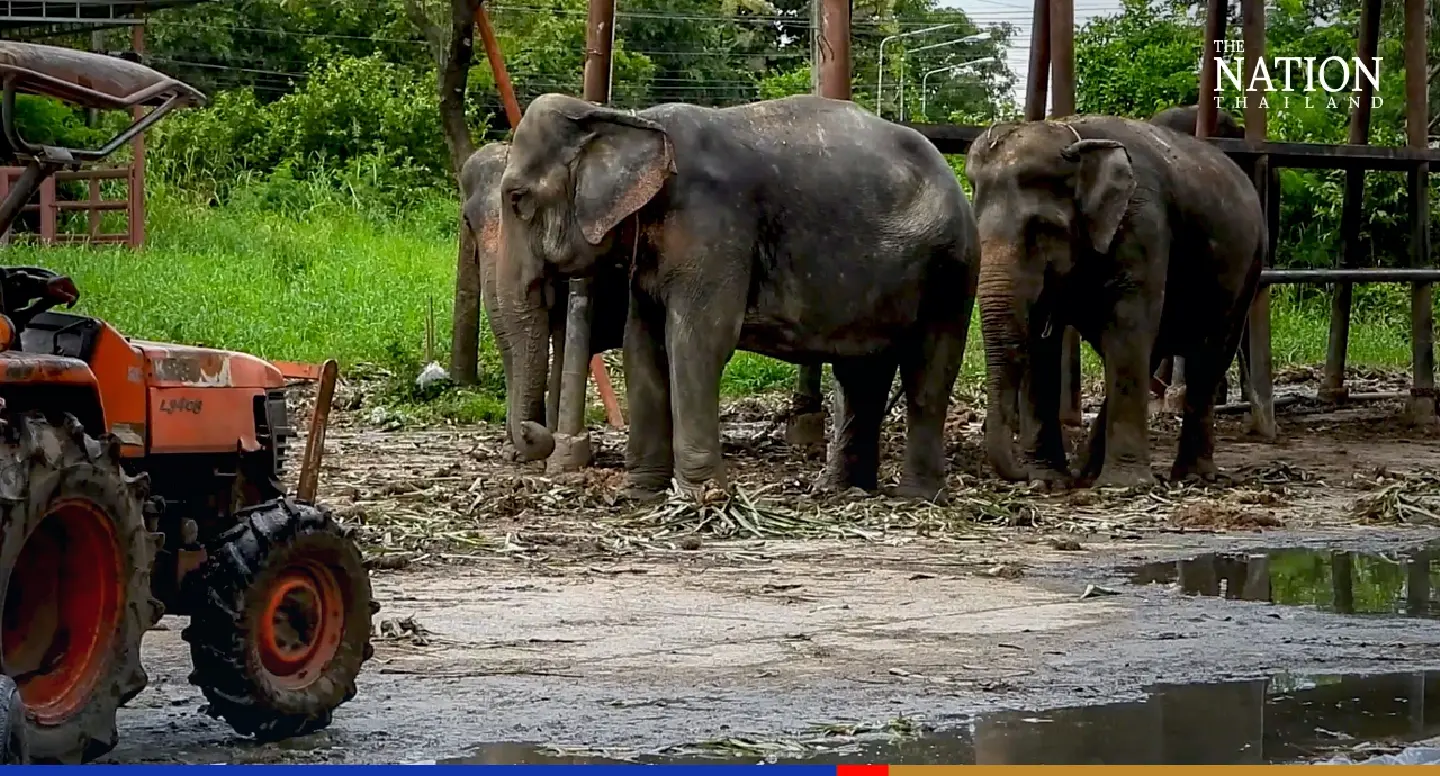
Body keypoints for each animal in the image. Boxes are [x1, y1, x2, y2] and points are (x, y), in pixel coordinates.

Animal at [497, 92, 980, 502]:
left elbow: (697, 340)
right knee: (862, 373)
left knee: (928, 370)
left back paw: (915, 498)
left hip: (952, 268)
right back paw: (840, 491)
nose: (536, 437)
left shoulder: (714, 227)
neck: (629, 116)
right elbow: (642, 346)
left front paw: (702, 498)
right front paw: (639, 496)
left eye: (518, 198)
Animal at [964, 115, 1265, 488]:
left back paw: (1192, 476)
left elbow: (1127, 328)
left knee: (1207, 356)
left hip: (1249, 267)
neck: (1070, 138)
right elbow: (1042, 343)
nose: (1018, 473)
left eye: (1042, 228)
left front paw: (1123, 486)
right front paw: (1046, 479)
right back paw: (1089, 469)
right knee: (1155, 353)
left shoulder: (1142, 225)